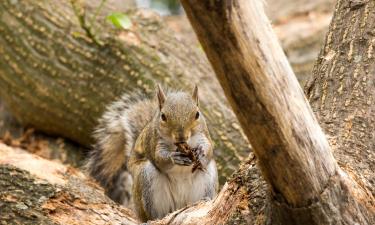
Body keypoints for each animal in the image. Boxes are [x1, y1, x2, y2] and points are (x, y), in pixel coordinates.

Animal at [85, 84, 219, 221]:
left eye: (197, 114)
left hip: (207, 178)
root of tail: (178, 206)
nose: (181, 137)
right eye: (163, 116)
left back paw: (204, 201)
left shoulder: (203, 135)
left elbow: (209, 148)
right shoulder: (154, 142)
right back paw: (155, 219)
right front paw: (174, 157)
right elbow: (159, 159)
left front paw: (201, 153)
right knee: (153, 214)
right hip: (146, 177)